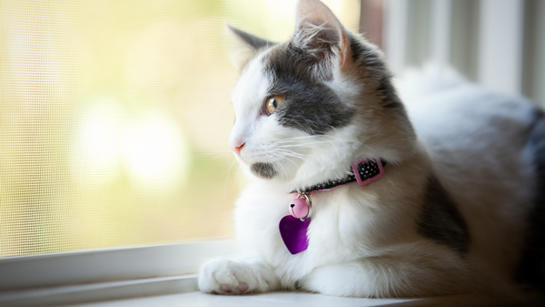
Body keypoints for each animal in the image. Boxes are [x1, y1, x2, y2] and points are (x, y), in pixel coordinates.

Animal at [197, 0, 544, 300]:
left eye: (273, 104)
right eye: (235, 113)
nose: (234, 143)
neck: (321, 188)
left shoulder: (451, 267)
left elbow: (336, 274)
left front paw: (294, 273)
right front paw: (240, 267)